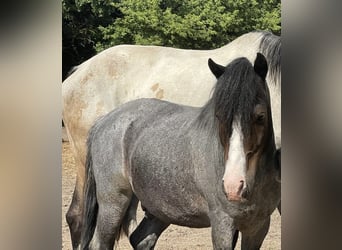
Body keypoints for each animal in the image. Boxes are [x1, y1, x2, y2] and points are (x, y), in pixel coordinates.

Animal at [80, 53, 280, 249]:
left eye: (260, 117)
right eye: (219, 116)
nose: (233, 186)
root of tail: (103, 121)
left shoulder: (257, 227)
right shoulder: (222, 224)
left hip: (160, 208)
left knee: (141, 239)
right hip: (113, 204)